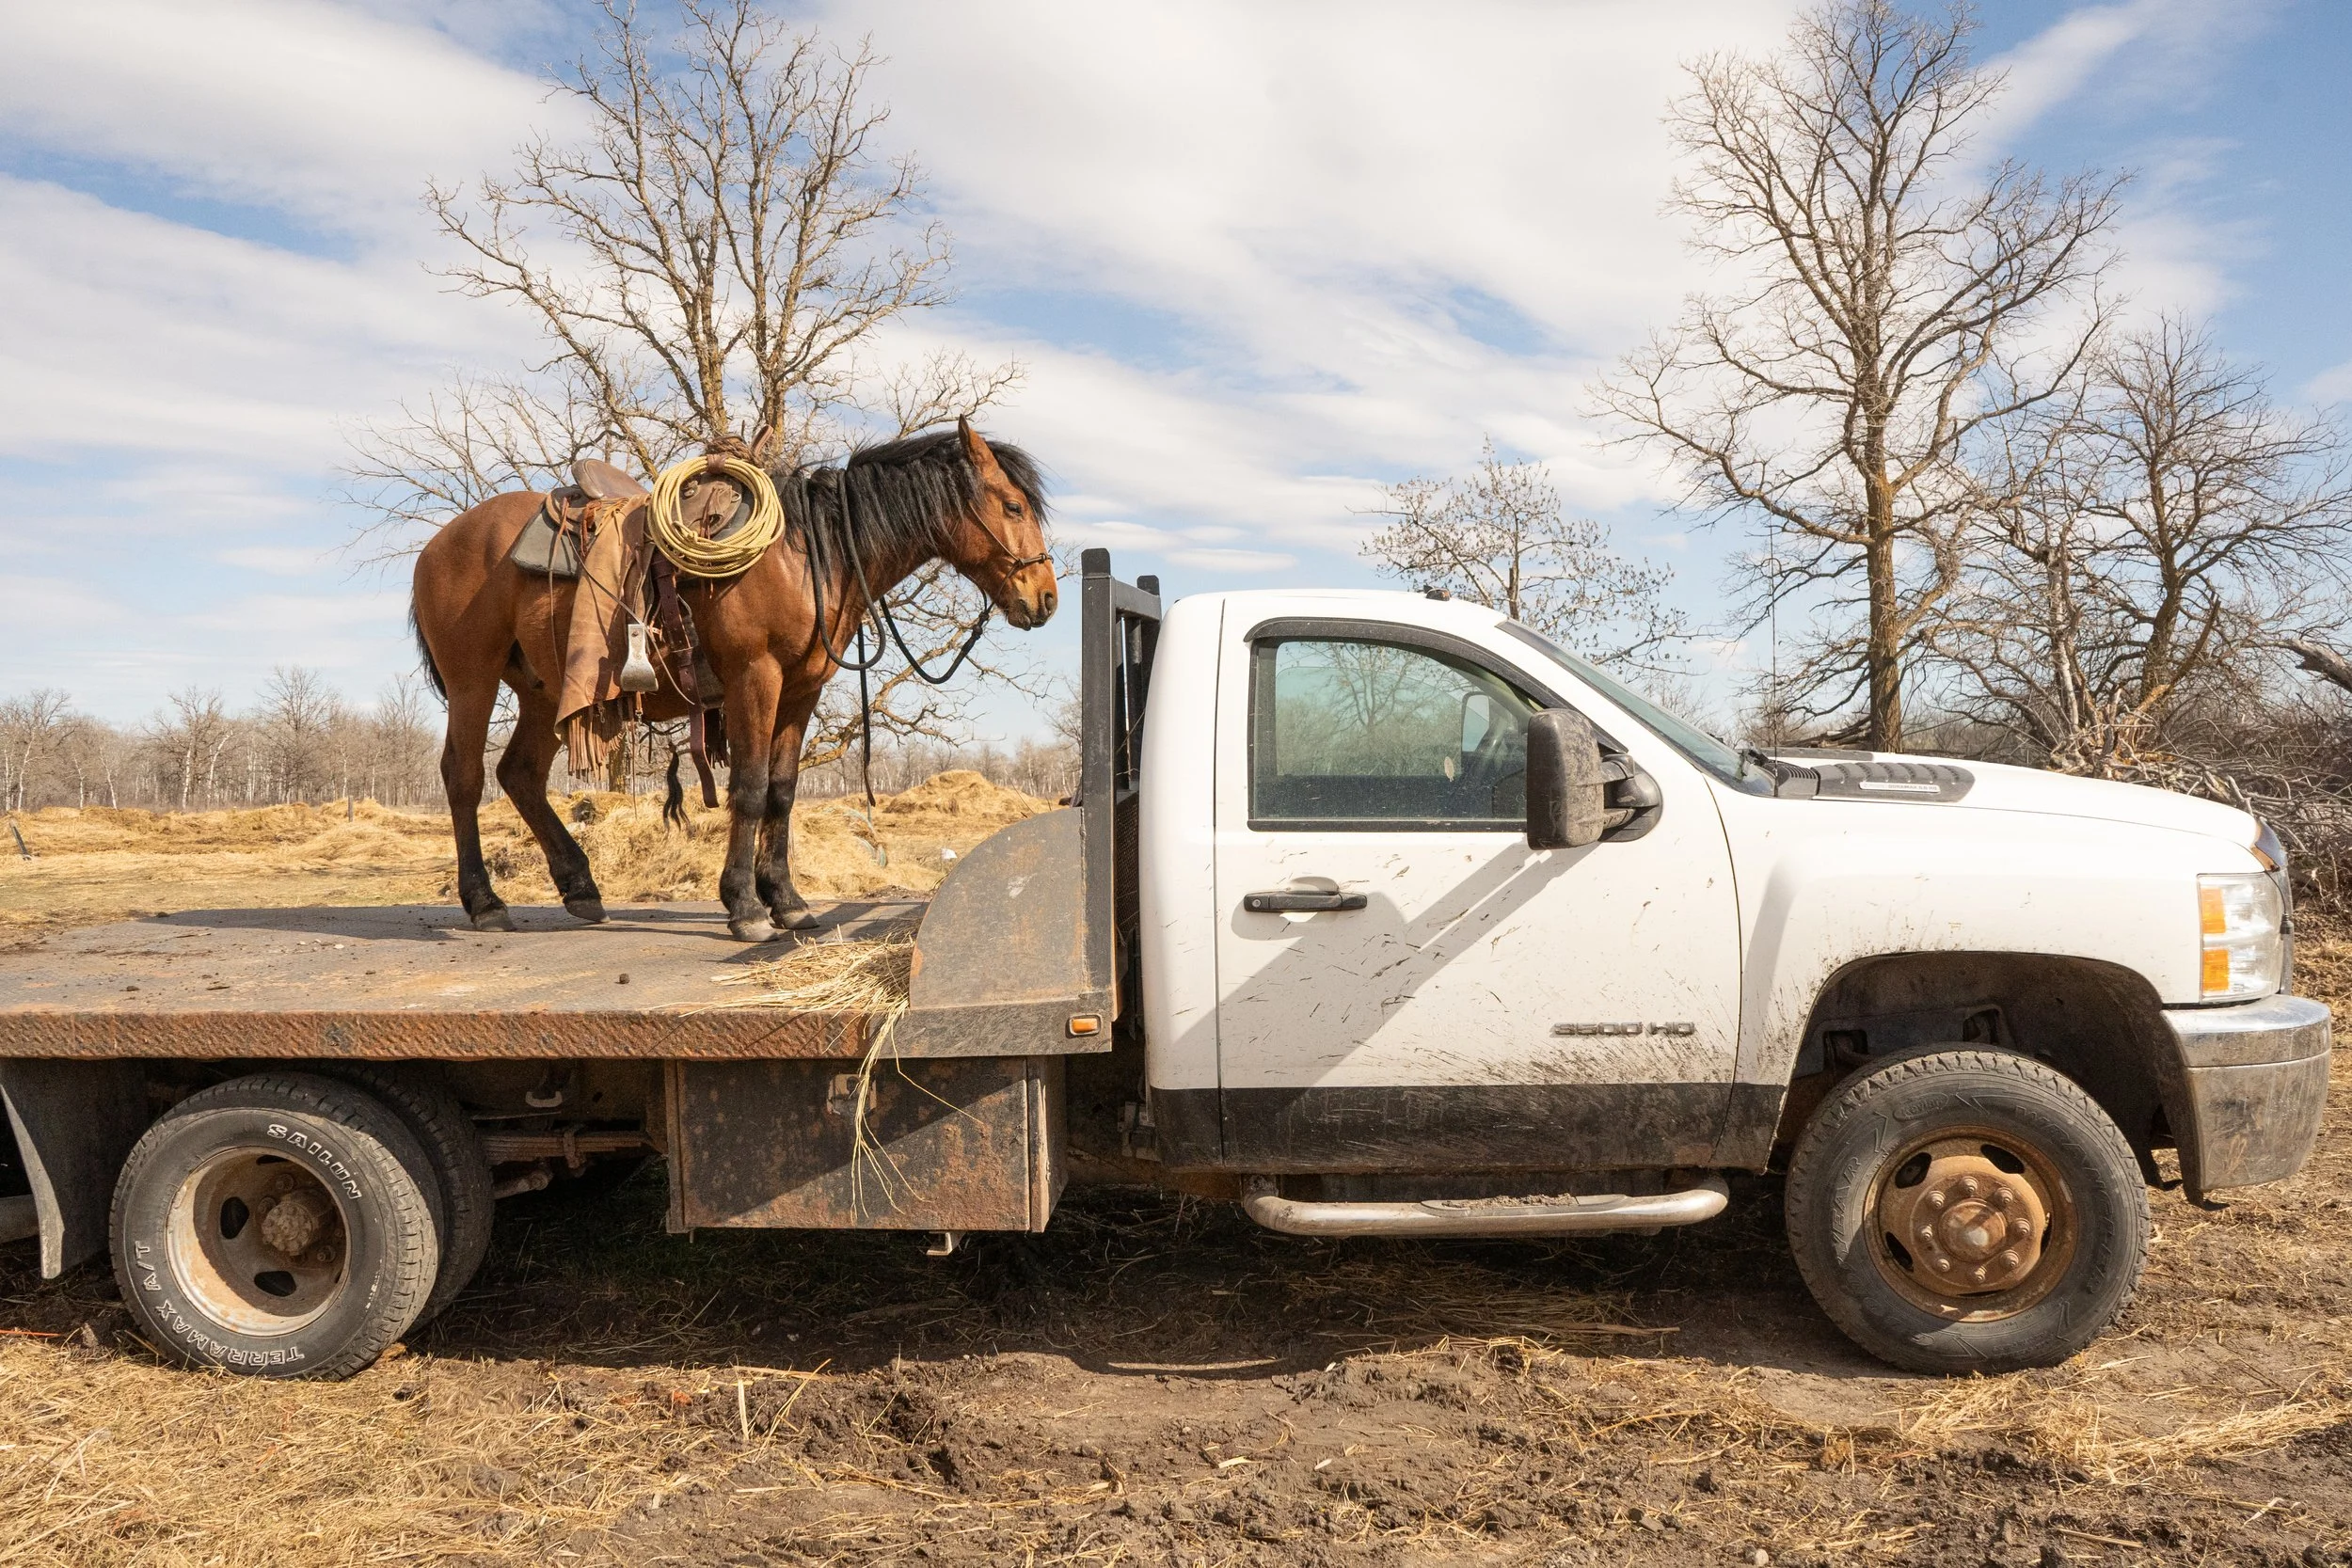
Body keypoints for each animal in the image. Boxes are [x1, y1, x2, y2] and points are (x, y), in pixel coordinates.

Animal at [408, 420, 1055, 942]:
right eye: (1013, 507)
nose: (1045, 597)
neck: (805, 555)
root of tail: (437, 545)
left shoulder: (801, 690)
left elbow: (783, 791)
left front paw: (787, 901)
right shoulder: (755, 678)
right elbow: (748, 787)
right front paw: (744, 906)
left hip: (544, 692)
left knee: (519, 775)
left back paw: (580, 886)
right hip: (473, 682)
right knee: (464, 778)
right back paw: (485, 902)